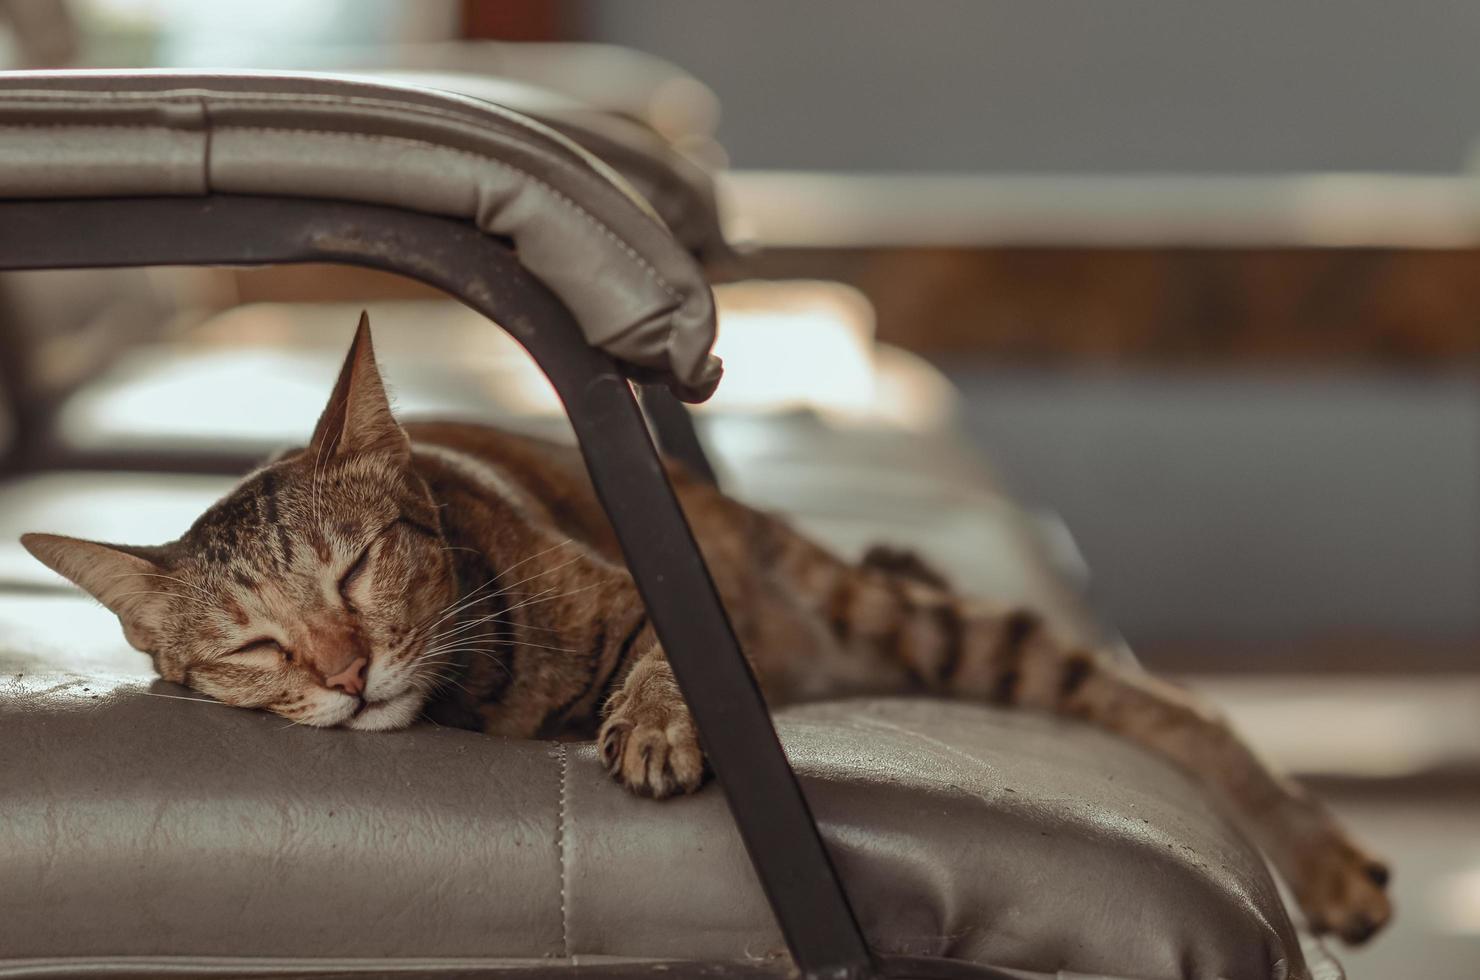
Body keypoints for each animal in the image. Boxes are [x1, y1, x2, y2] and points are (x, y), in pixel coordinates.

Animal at [20, 315, 1385, 947]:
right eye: (251, 647)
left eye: (358, 570)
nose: (349, 674)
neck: (477, 696)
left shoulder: (645, 595)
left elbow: (666, 660)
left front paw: (656, 725)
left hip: (903, 616)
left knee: (1165, 702)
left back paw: (1317, 856)